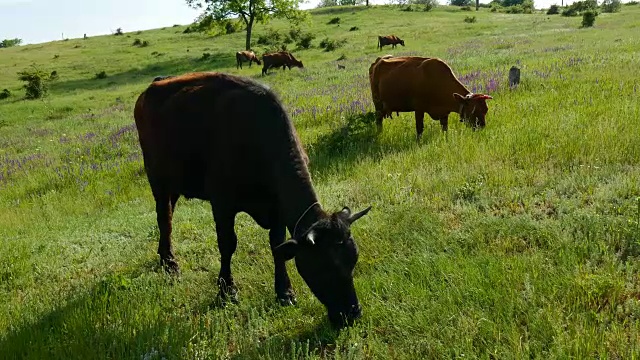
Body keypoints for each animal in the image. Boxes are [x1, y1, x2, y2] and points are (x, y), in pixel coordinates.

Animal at [133, 71, 372, 328]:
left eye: (353, 260)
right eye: (324, 267)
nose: (352, 313)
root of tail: (153, 86)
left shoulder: (276, 207)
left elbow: (277, 245)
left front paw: (284, 292)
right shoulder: (222, 202)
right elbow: (227, 244)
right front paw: (227, 290)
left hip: (175, 183)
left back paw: (164, 256)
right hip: (157, 178)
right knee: (164, 218)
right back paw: (170, 263)